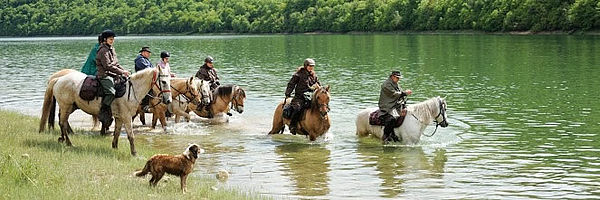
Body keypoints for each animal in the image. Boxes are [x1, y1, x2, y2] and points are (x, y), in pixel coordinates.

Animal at [39, 67, 172, 156]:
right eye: (163, 81)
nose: (168, 100)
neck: (131, 89)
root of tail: (58, 79)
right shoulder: (127, 117)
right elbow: (131, 135)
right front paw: (134, 153)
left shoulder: (119, 117)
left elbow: (117, 132)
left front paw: (115, 147)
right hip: (66, 106)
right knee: (62, 122)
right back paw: (69, 143)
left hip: (70, 107)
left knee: (63, 121)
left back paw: (63, 139)